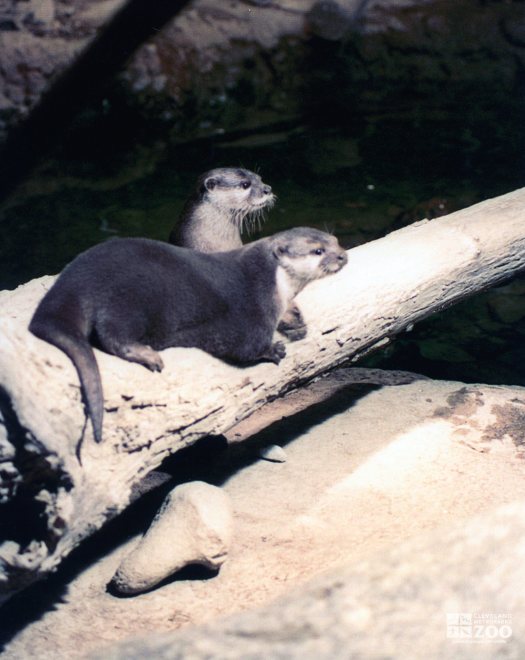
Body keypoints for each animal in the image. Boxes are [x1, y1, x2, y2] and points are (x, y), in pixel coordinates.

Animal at [29, 227, 348, 444]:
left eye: (335, 240)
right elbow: (244, 346)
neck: (272, 280)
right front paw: (274, 350)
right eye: (318, 251)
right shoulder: (251, 310)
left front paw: (294, 320)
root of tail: (77, 280)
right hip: (128, 300)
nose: (343, 256)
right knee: (111, 333)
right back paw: (147, 355)